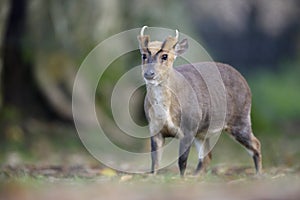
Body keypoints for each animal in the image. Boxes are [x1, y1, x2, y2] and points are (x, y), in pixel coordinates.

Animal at [137, 25, 262, 177]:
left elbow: (182, 161)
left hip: (240, 118)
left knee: (256, 144)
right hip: (203, 132)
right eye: (144, 55)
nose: (149, 73)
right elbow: (154, 162)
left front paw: (182, 179)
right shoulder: (154, 128)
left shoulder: (189, 127)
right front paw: (152, 177)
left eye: (164, 56)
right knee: (207, 156)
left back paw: (258, 174)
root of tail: (245, 82)